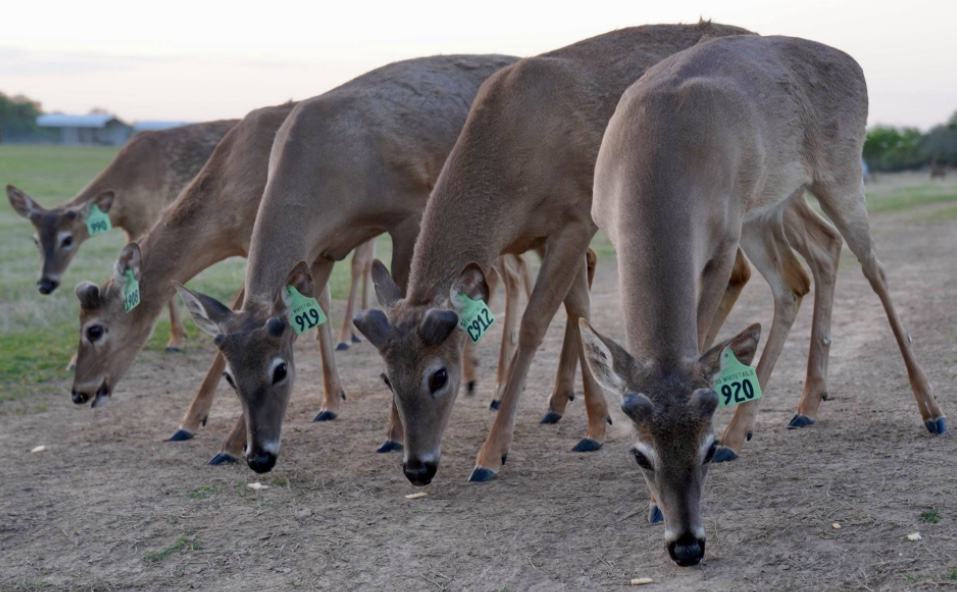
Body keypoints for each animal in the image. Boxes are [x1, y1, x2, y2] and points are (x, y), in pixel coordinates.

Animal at [6, 119, 235, 352]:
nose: (45, 284)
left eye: (68, 239)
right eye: (35, 240)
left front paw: (177, 339)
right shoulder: (132, 228)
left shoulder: (153, 217)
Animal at [352, 22, 754, 487]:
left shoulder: (575, 218)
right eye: (386, 378)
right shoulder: (548, 235)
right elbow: (578, 310)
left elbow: (536, 322)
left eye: (439, 375)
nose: (417, 468)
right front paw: (595, 424)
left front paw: (490, 454)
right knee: (744, 272)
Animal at [580, 34, 946, 567]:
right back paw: (797, 407)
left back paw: (931, 410)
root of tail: (852, 62)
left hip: (837, 173)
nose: (687, 545)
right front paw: (653, 503)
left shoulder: (722, 239)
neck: (658, 160)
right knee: (807, 265)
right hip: (769, 205)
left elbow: (702, 337)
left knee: (872, 267)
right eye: (639, 455)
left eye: (706, 449)